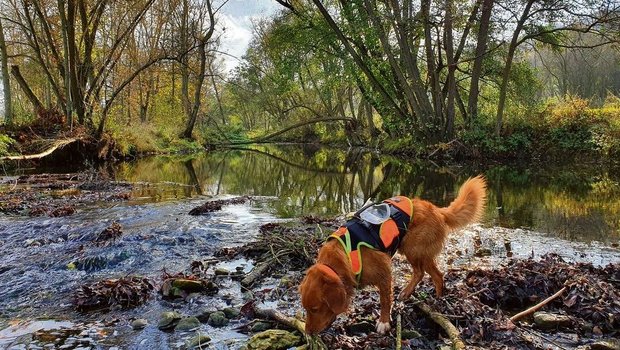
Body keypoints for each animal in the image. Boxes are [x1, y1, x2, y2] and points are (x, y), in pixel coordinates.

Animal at [300, 175, 490, 334]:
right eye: (306, 309)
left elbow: (385, 299)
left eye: (315, 309)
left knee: (436, 275)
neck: (344, 256)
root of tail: (437, 209)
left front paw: (384, 322)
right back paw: (407, 293)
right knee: (420, 273)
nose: (308, 332)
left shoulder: (384, 272)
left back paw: (438, 299)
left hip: (415, 250)